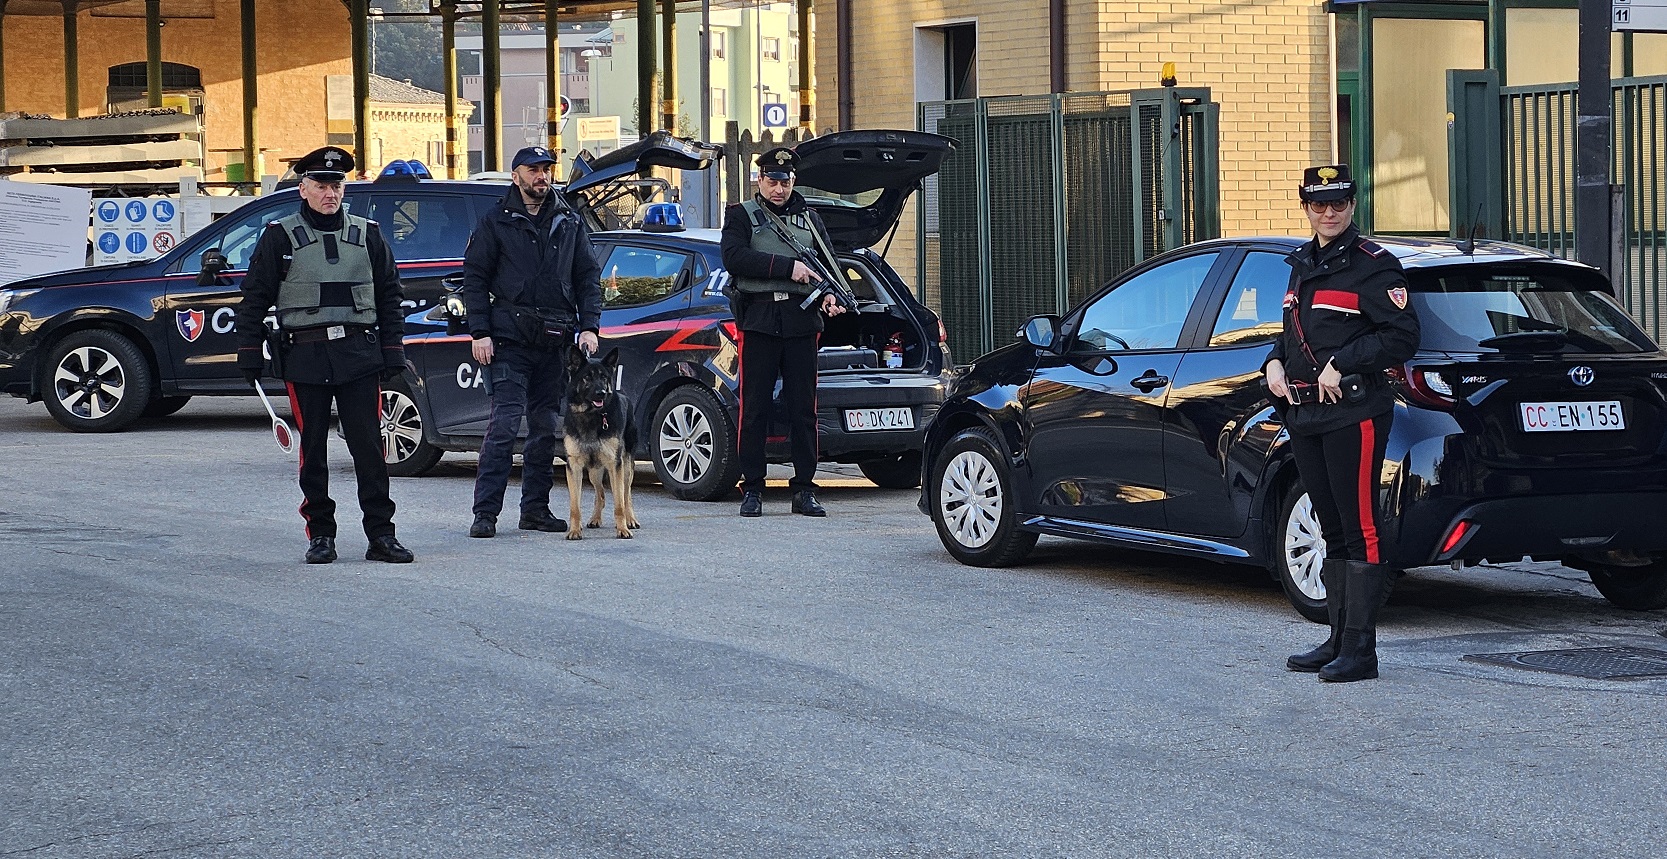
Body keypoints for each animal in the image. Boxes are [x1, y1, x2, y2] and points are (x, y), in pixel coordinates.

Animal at [560, 348, 636, 537]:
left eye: (603, 377)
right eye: (587, 377)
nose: (601, 392)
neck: (591, 415)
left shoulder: (615, 464)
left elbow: (619, 504)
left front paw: (622, 529)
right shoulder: (574, 466)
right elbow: (575, 506)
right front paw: (574, 530)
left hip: (625, 468)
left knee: (626, 495)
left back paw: (630, 519)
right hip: (594, 472)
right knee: (600, 494)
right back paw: (595, 519)